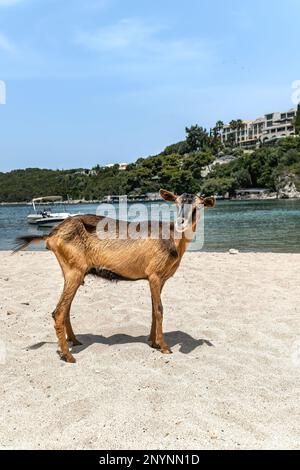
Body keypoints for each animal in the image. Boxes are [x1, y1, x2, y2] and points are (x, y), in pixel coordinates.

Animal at [15, 190, 214, 364]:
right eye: (177, 203)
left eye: (198, 206)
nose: (182, 222)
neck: (172, 240)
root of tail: (51, 235)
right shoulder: (155, 275)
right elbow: (159, 309)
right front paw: (164, 347)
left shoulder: (159, 279)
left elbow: (152, 309)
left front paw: (153, 342)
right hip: (74, 270)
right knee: (58, 312)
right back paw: (68, 356)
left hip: (72, 272)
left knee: (66, 309)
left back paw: (75, 341)